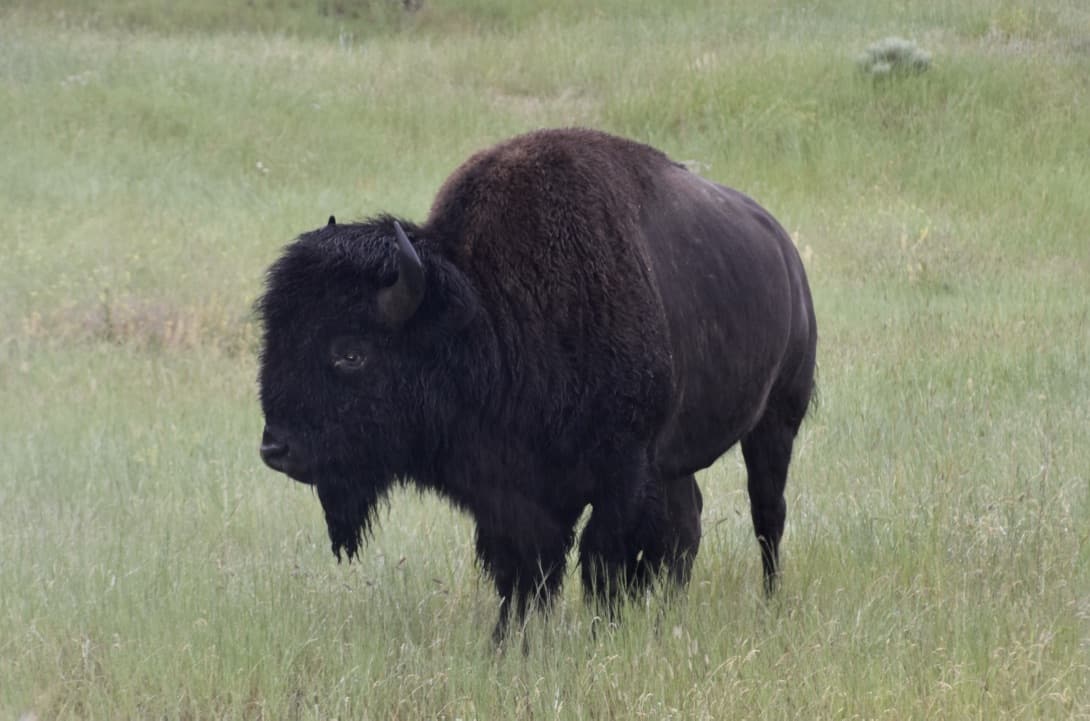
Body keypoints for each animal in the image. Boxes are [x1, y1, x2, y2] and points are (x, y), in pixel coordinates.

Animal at [257, 128, 817, 640]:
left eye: (350, 353)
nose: (275, 448)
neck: (487, 312)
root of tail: (785, 252)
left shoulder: (623, 474)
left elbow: (602, 562)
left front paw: (600, 634)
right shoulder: (514, 495)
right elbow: (525, 572)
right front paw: (510, 641)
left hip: (775, 422)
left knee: (766, 514)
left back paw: (769, 600)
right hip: (677, 460)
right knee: (690, 522)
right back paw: (670, 615)